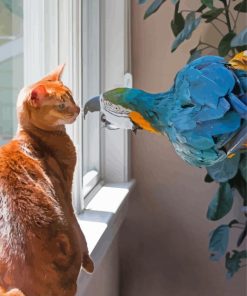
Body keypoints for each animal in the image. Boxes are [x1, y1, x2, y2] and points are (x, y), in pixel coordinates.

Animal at [0, 65, 94, 296]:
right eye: (61, 105)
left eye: (71, 96)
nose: (77, 109)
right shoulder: (66, 191)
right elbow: (79, 230)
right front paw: (88, 262)